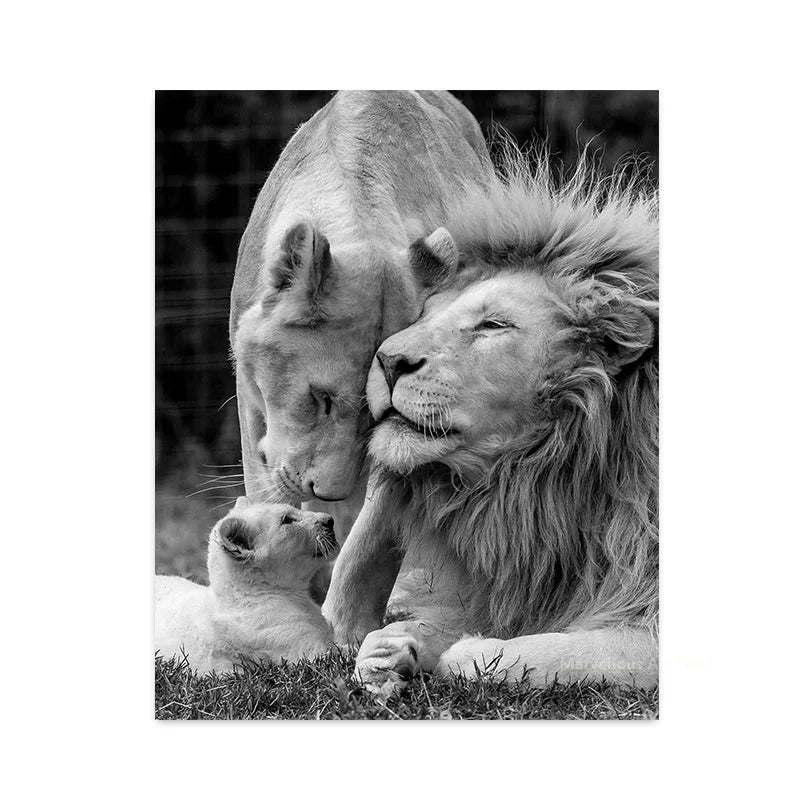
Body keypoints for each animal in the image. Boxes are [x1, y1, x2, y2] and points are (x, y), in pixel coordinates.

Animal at [322, 146, 659, 695]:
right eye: (425, 313)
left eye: (493, 324)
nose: (388, 360)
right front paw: (392, 649)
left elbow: (545, 652)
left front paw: (466, 653)